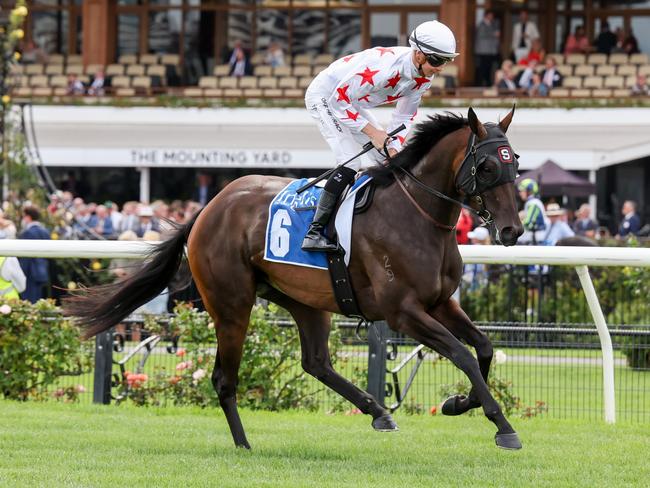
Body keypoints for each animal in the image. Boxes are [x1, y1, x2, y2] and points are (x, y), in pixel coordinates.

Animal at [64, 107, 520, 450]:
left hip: (304, 300)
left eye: (514, 163)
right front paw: (502, 426)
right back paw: (244, 443)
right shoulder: (403, 312)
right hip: (232, 304)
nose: (512, 230)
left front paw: (459, 402)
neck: (417, 216)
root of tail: (208, 207)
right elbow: (462, 355)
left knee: (316, 362)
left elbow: (483, 347)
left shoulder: (441, 302)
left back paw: (378, 412)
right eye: (486, 166)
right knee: (224, 378)